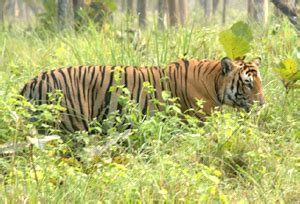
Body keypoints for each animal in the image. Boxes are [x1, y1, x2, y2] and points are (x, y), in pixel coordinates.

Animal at [19, 57, 264, 132]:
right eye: (248, 83)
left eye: (260, 81)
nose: (263, 103)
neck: (214, 82)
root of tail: (32, 81)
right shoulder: (197, 123)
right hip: (71, 125)